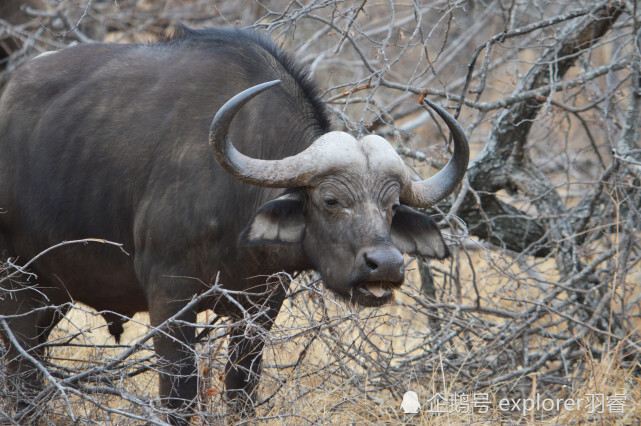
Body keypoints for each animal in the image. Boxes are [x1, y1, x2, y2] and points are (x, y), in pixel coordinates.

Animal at [0, 25, 470, 422]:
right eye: (331, 200)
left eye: (391, 206)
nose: (385, 265)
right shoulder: (170, 301)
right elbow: (179, 395)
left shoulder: (261, 306)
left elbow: (241, 387)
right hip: (17, 283)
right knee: (20, 369)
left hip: (52, 294)